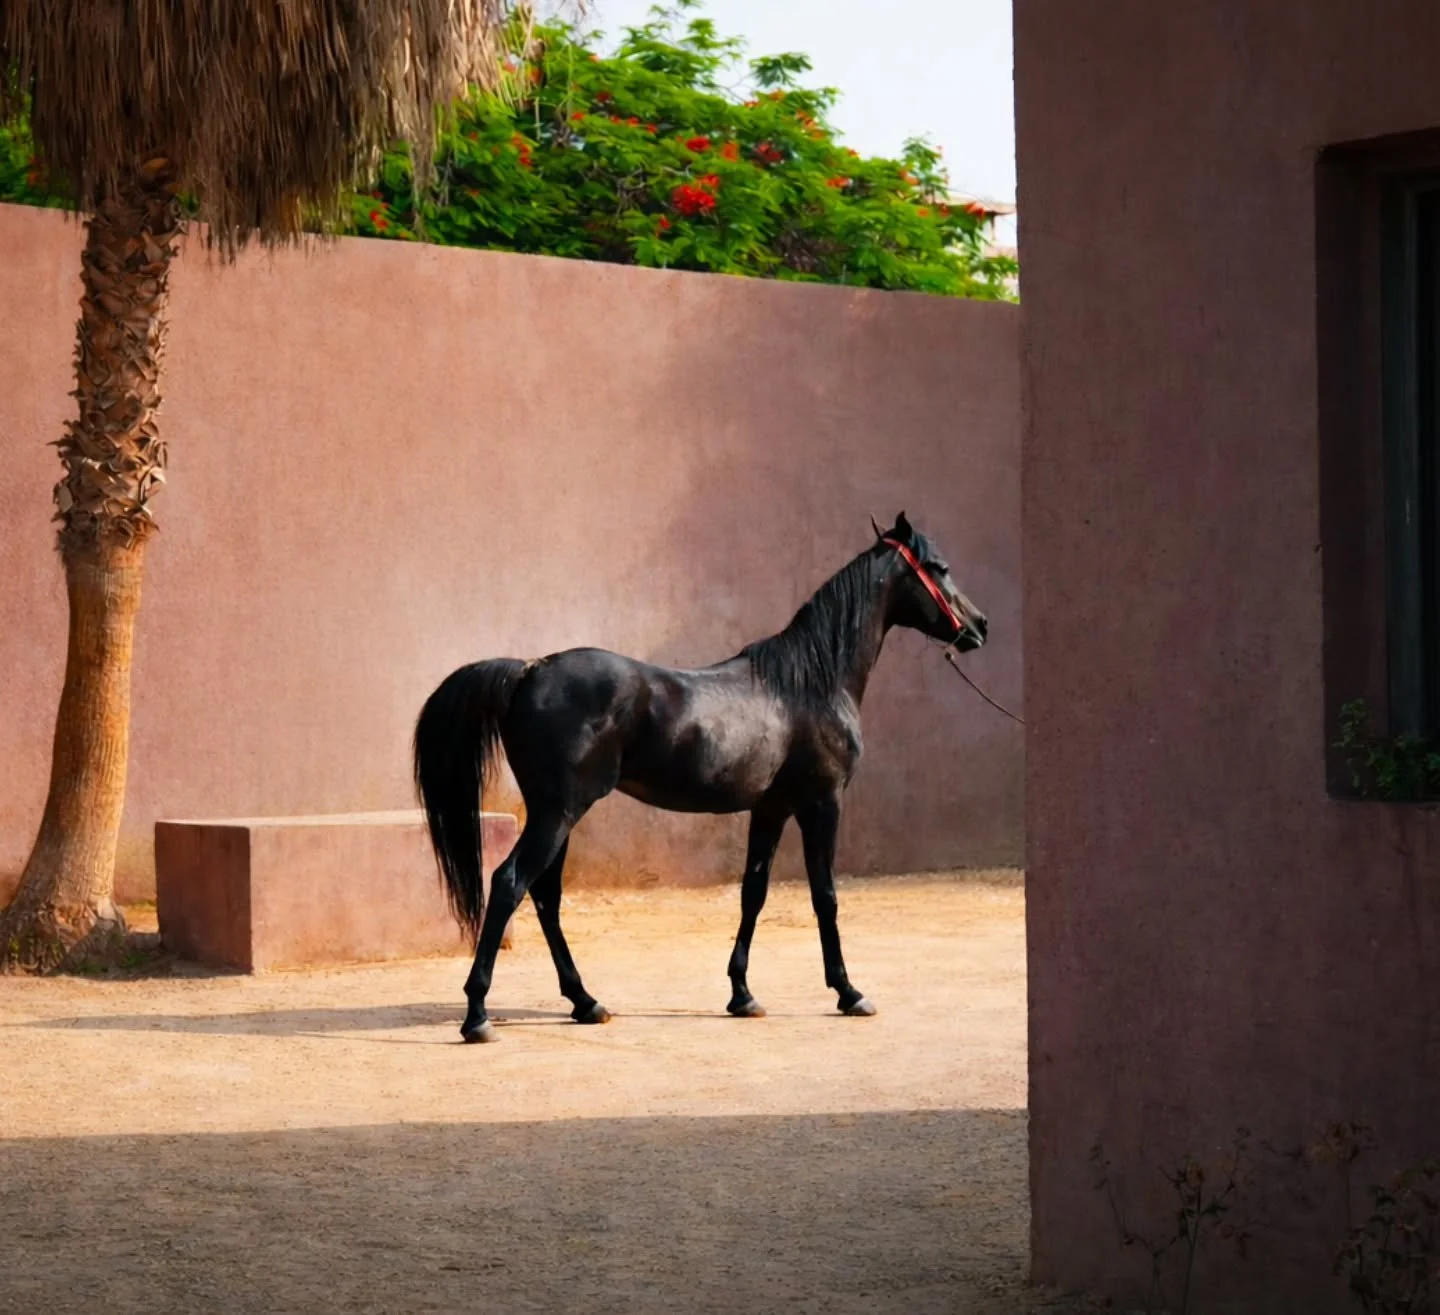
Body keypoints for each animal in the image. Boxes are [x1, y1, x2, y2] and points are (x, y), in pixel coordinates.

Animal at [412, 512, 988, 1043]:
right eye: (940, 567)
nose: (979, 626)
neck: (807, 684)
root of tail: (531, 668)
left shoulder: (771, 808)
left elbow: (753, 892)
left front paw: (742, 994)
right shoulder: (822, 803)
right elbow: (825, 895)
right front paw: (848, 992)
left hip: (557, 814)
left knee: (545, 897)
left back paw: (586, 1002)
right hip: (558, 813)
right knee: (510, 883)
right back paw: (478, 1016)